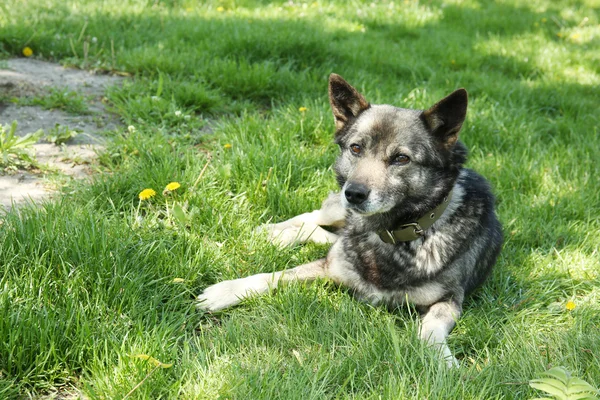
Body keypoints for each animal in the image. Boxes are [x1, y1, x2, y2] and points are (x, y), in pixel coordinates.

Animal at [199, 73, 504, 368]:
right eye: (356, 148)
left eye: (401, 158)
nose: (354, 193)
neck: (388, 235)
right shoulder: (330, 265)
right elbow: (271, 276)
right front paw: (227, 290)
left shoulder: (450, 300)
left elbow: (430, 329)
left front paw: (441, 359)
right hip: (336, 212)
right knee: (315, 217)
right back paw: (273, 232)